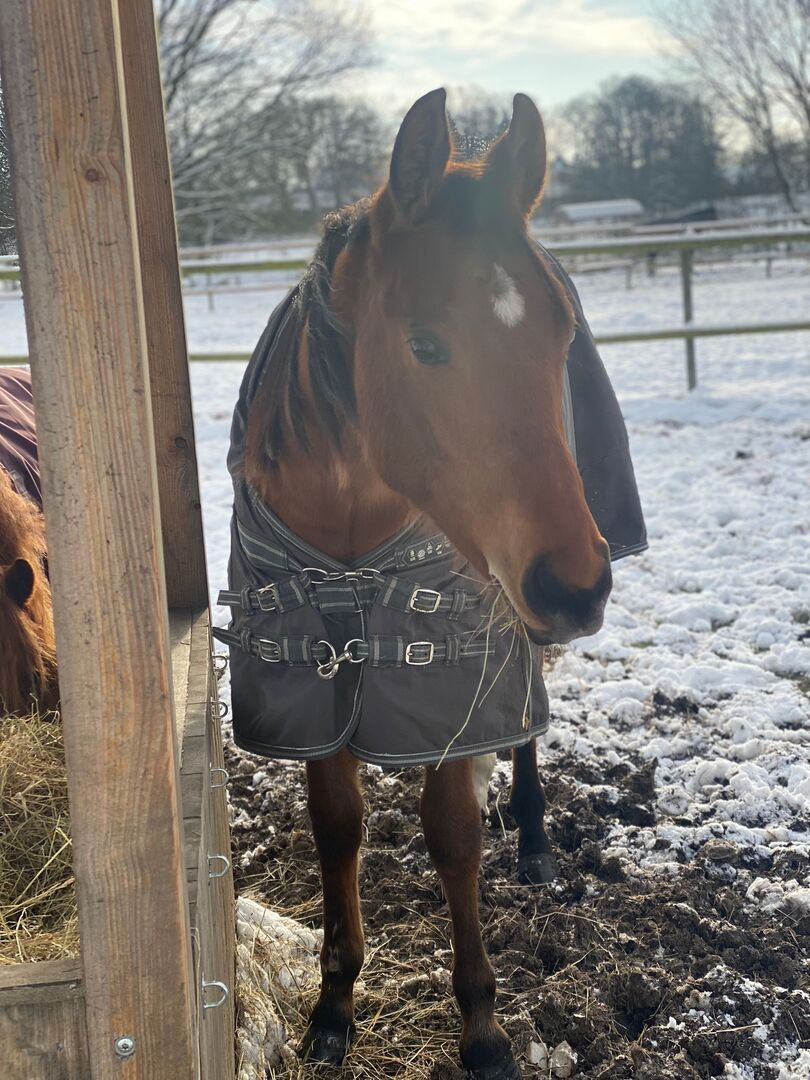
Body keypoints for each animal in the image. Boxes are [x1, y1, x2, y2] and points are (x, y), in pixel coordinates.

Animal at [237, 90, 613, 1079]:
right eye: (425, 343)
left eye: (562, 333)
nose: (577, 585)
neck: (352, 530)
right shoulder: (311, 680)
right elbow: (339, 827)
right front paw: (333, 1002)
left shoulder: (453, 670)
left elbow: (453, 834)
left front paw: (483, 1027)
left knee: (528, 724)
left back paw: (535, 840)